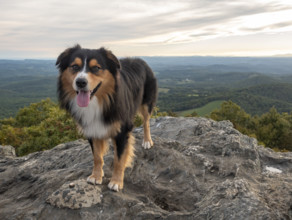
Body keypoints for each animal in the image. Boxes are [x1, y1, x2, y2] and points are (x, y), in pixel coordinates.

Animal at [56, 44, 157, 191]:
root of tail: (140, 60)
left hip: (146, 102)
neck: (100, 101)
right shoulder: (92, 129)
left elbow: (119, 159)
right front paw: (96, 176)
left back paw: (147, 141)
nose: (80, 82)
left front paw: (116, 182)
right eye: (74, 66)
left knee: (146, 122)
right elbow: (97, 156)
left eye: (96, 68)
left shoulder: (122, 131)